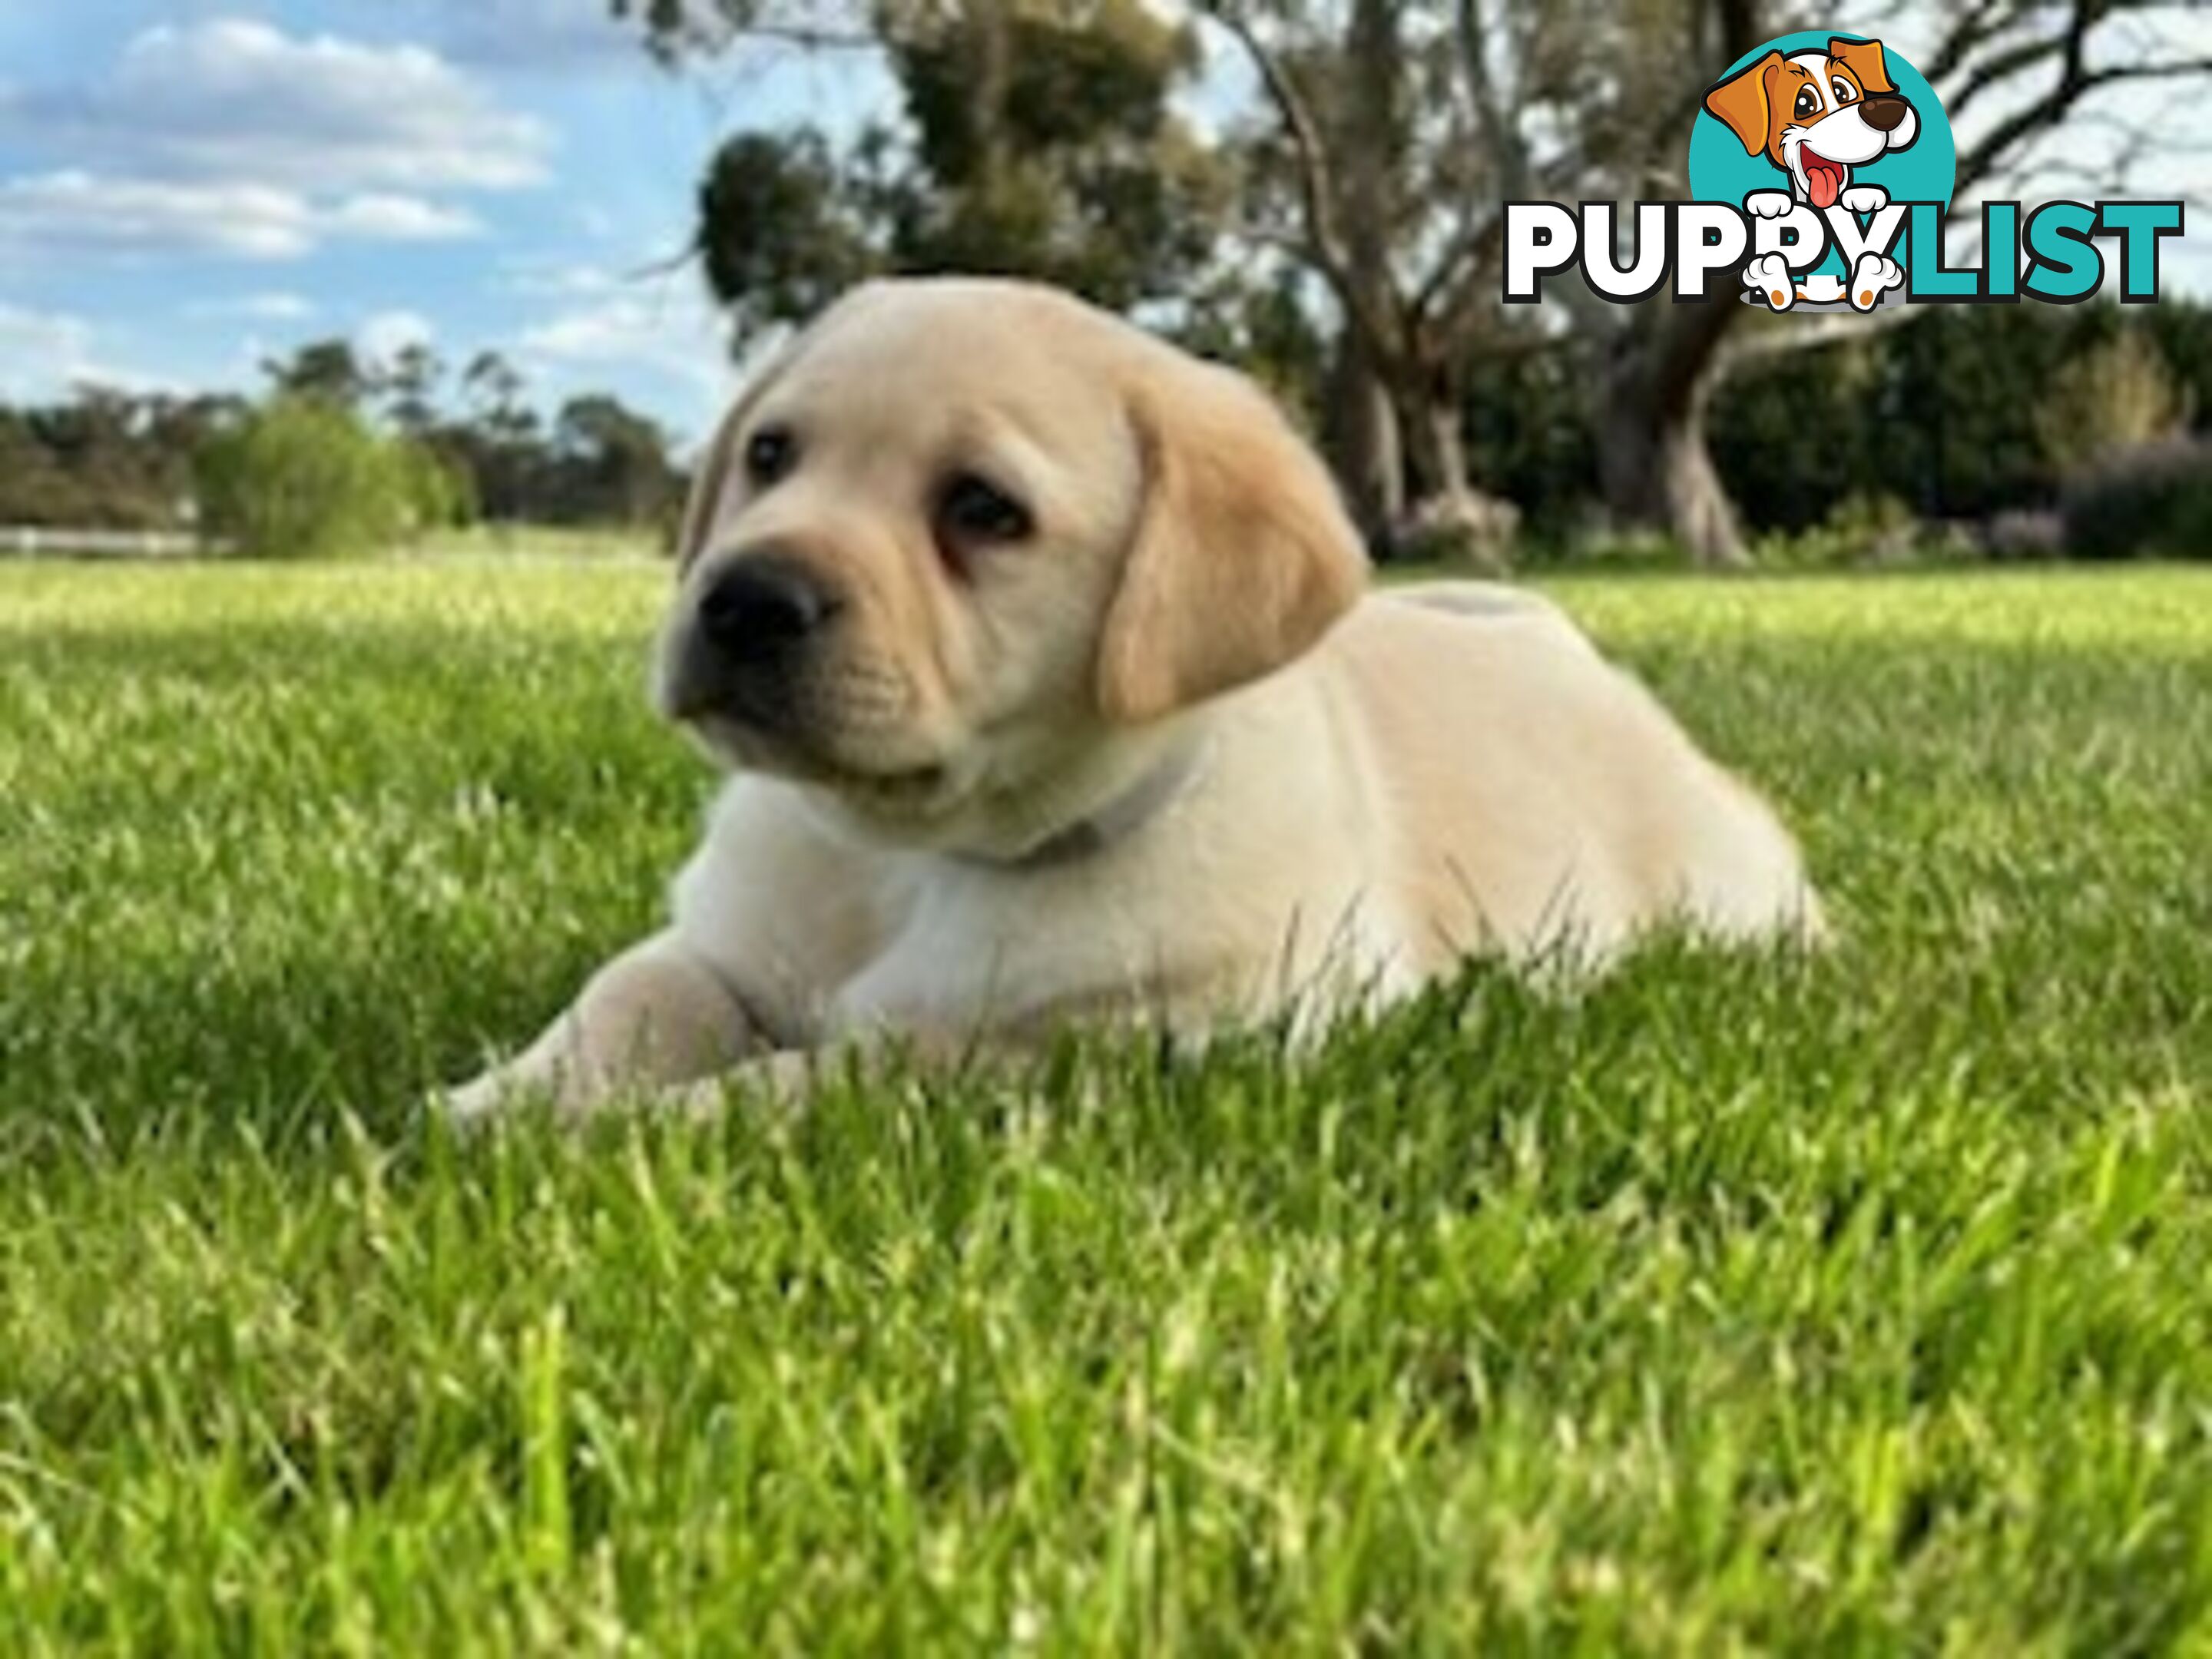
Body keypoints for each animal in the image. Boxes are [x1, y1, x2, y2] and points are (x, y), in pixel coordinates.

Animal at [444, 276, 1813, 1132]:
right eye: (770, 455)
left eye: (983, 510)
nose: (744, 600)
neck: (910, 857)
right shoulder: (719, 946)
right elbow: (630, 996)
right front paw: (502, 1105)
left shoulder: (1117, 1048)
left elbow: (857, 1069)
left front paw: (652, 1127)